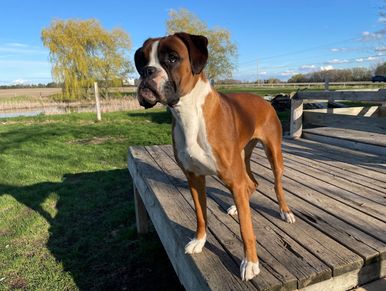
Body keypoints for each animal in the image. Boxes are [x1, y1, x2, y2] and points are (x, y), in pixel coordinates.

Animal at [134, 33, 294, 282]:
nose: (146, 72)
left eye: (172, 58)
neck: (188, 113)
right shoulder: (194, 178)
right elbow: (200, 215)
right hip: (243, 158)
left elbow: (246, 229)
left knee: (276, 184)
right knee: (251, 183)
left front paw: (250, 263)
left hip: (273, 153)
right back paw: (238, 207)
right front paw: (199, 241)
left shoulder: (232, 179)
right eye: (141, 61)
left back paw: (284, 211)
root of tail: (264, 100)